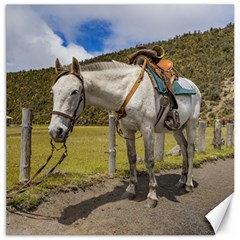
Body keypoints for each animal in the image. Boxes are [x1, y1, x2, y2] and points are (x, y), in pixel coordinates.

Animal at [48, 56, 201, 208]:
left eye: (74, 91)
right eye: (53, 91)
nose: (55, 131)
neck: (127, 91)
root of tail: (194, 87)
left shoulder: (147, 128)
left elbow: (149, 160)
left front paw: (152, 195)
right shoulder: (128, 130)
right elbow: (131, 157)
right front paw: (130, 189)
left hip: (191, 125)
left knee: (190, 150)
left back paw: (189, 183)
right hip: (177, 129)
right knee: (184, 148)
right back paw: (181, 180)